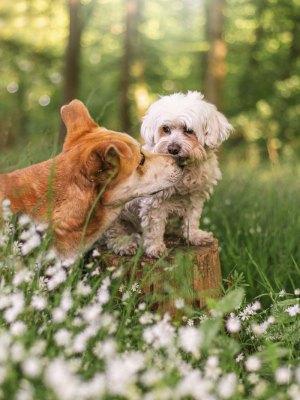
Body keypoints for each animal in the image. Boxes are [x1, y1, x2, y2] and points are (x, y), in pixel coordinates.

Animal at [104, 92, 233, 258]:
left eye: (188, 130)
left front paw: (194, 236)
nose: (172, 148)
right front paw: (155, 248)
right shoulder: (154, 202)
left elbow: (192, 219)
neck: (184, 170)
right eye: (165, 129)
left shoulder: (195, 197)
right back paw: (124, 243)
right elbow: (154, 227)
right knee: (113, 233)